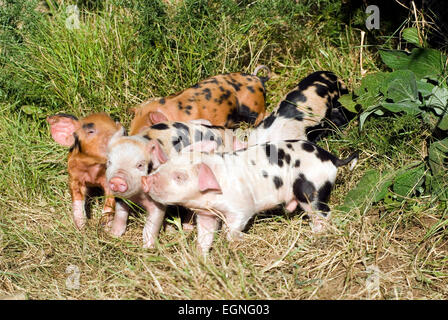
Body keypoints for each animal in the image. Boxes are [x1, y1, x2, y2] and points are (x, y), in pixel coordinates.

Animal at [105, 120, 238, 248]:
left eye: (140, 165)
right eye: (109, 162)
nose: (117, 180)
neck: (137, 196)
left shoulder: (158, 200)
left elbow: (153, 223)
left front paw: (148, 248)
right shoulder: (120, 198)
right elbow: (120, 213)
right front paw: (113, 234)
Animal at [140, 139, 356, 254]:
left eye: (180, 176)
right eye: (165, 164)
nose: (146, 179)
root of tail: (332, 159)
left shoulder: (241, 208)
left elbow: (230, 231)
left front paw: (240, 239)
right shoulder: (207, 214)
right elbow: (205, 235)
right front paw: (201, 256)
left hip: (311, 189)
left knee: (324, 212)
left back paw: (316, 234)